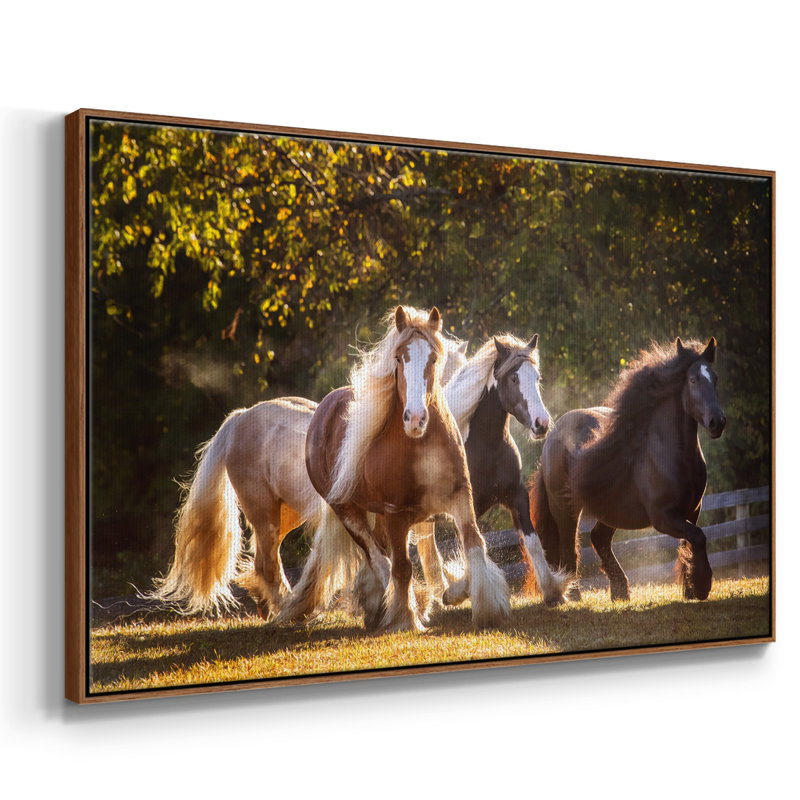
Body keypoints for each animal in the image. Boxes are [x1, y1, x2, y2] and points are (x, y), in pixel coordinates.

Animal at [148, 337, 467, 619]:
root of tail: (239, 417)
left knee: (263, 562)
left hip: (286, 515)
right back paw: (286, 610)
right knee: (267, 564)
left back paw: (273, 609)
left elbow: (422, 555)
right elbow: (390, 558)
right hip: (263, 513)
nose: (418, 420)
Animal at [278, 305, 511, 632]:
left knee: (379, 557)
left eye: (433, 358)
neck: (421, 446)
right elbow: (402, 567)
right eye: (399, 358)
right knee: (378, 559)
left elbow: (475, 544)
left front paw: (490, 609)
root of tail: (324, 409)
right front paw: (405, 619)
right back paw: (392, 607)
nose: (415, 419)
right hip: (348, 512)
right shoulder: (396, 514)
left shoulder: (460, 496)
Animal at [431, 333, 569, 608]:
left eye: (536, 377)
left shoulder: (516, 495)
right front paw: (458, 592)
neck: (487, 447)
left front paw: (553, 591)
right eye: (514, 378)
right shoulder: (466, 507)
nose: (541, 424)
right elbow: (474, 545)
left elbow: (532, 541)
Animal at [528, 337, 725, 602]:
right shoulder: (663, 517)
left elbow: (690, 543)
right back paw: (573, 595)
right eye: (693, 380)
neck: (674, 457)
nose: (717, 422)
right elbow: (698, 537)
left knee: (598, 539)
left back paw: (620, 591)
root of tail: (552, 436)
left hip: (611, 509)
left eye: (715, 378)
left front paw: (691, 589)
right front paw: (702, 586)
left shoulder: (693, 510)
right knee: (569, 549)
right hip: (565, 508)